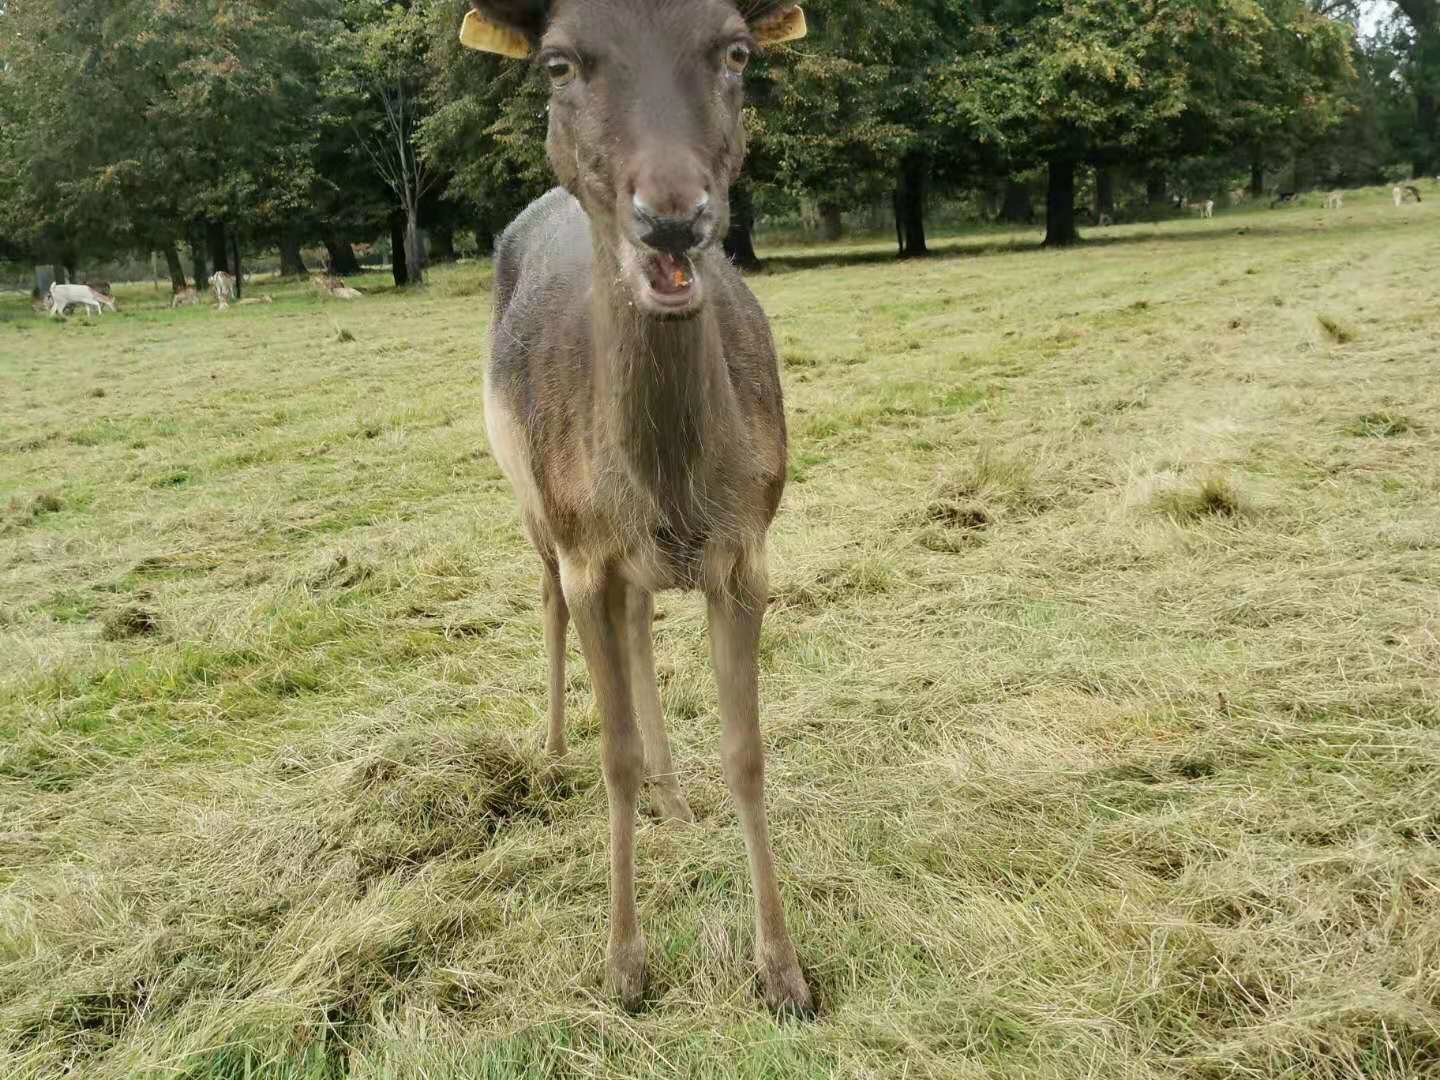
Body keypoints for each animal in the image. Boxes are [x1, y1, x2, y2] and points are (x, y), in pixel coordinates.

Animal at [460, 0, 817, 1019]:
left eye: (737, 50)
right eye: (557, 63)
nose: (672, 217)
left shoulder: (746, 546)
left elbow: (747, 749)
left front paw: (783, 971)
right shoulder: (588, 550)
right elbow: (612, 750)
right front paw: (624, 966)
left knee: (642, 626)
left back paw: (674, 796)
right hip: (533, 505)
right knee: (546, 595)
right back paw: (550, 748)